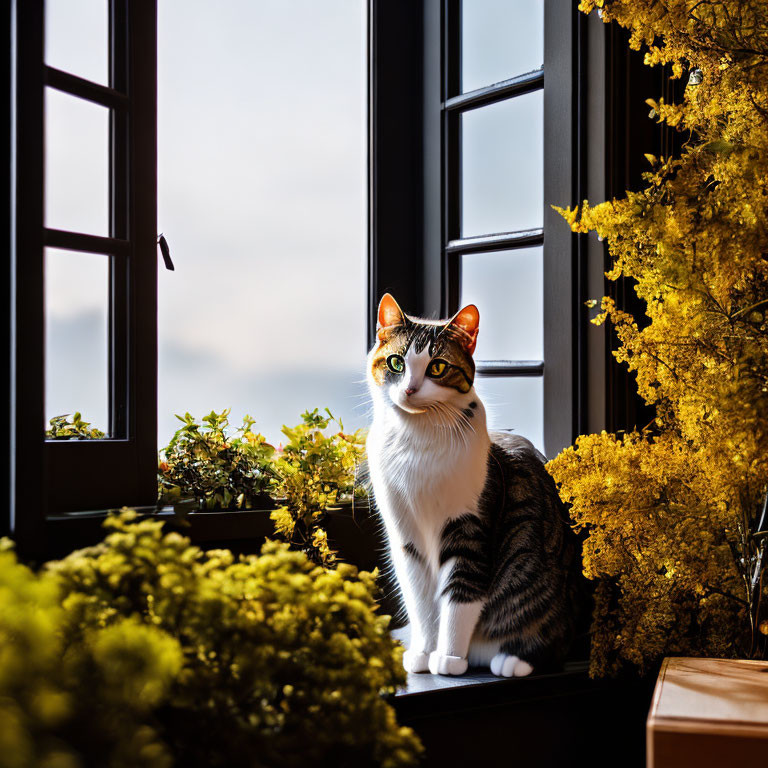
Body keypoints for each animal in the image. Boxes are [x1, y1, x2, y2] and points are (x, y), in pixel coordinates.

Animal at [366, 294, 584, 680]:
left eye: (437, 367)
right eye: (396, 362)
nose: (409, 389)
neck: (416, 442)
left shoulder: (469, 527)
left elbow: (461, 595)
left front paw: (448, 659)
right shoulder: (405, 536)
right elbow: (420, 602)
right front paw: (423, 652)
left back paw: (513, 659)